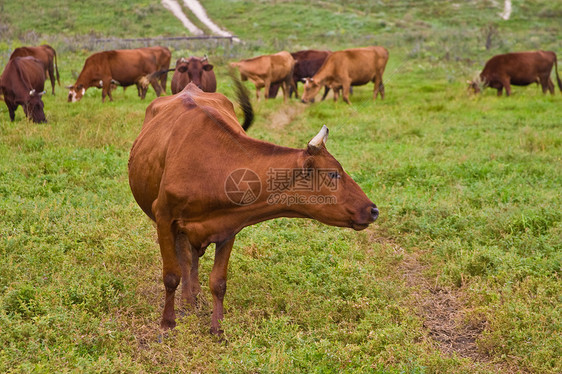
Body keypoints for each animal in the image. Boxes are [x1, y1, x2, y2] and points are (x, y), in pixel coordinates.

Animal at [129, 82, 378, 334]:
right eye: (333, 174)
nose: (373, 210)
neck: (209, 167)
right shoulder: (163, 217)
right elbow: (171, 275)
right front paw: (167, 323)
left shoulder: (227, 224)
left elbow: (218, 282)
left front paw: (217, 328)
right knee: (185, 259)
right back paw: (187, 301)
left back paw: (193, 297)